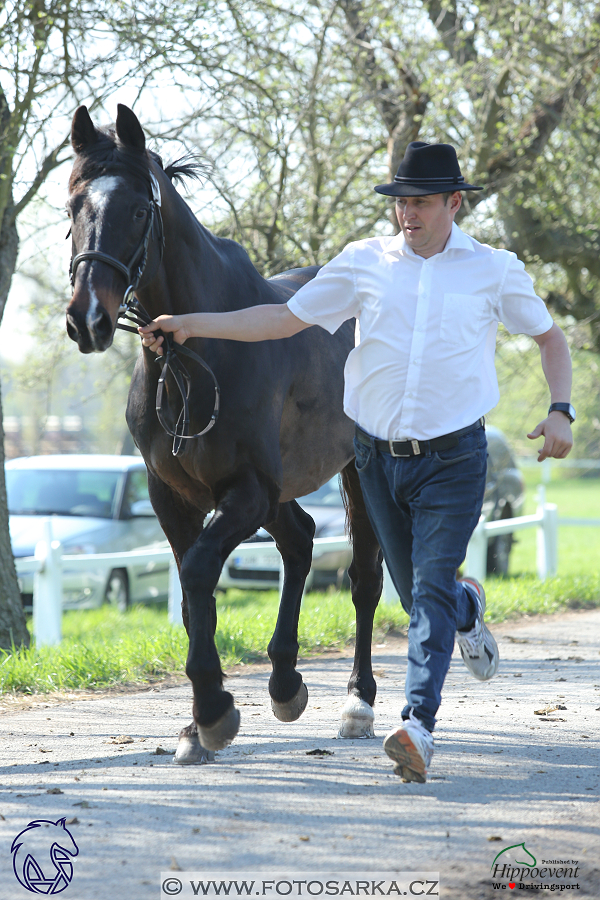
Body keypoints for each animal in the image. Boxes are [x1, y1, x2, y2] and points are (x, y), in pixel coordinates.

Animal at [65, 103, 382, 768]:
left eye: (139, 210)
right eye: (73, 205)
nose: (88, 319)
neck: (197, 350)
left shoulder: (247, 491)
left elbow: (197, 574)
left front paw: (214, 710)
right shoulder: (174, 496)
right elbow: (194, 598)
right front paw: (197, 725)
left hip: (358, 472)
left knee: (363, 576)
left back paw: (357, 702)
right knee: (300, 540)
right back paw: (286, 683)